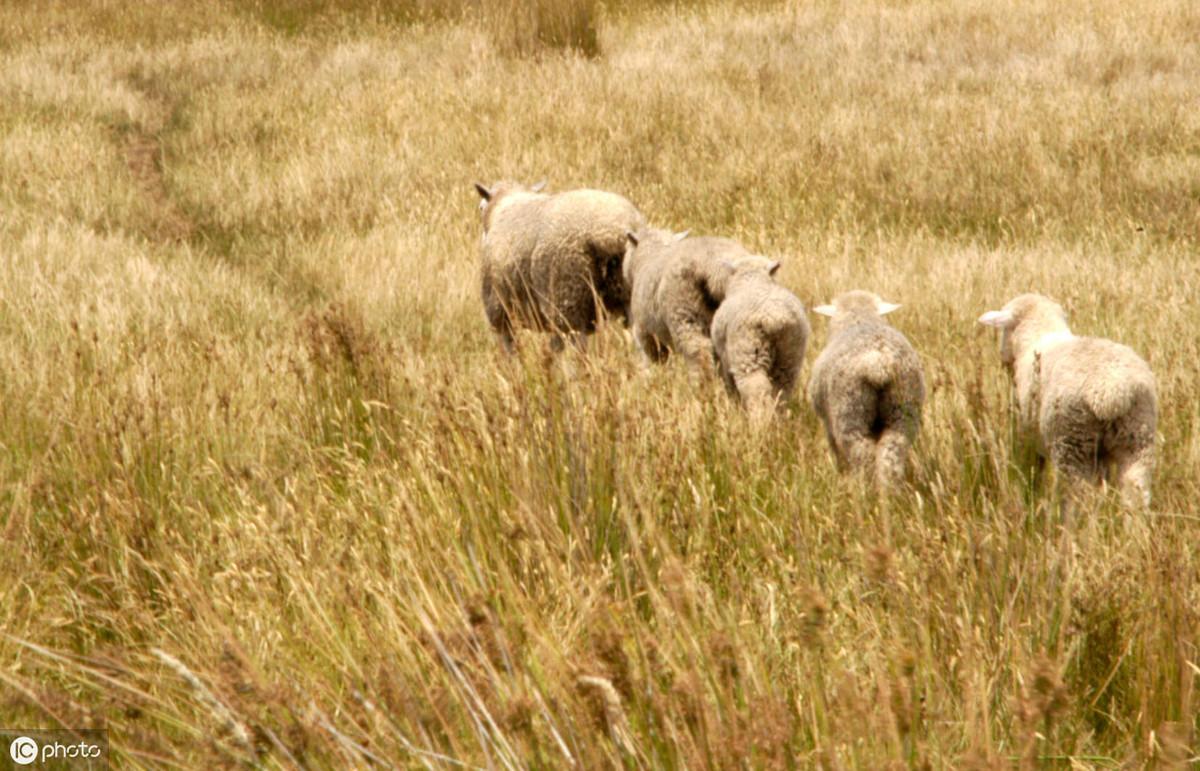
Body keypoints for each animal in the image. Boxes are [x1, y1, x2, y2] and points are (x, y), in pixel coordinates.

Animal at [470, 178, 648, 350]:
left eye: (480, 207)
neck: (505, 204)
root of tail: (611, 232)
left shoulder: (498, 310)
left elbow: (510, 349)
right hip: (627, 297)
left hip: (567, 297)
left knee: (579, 349)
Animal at [705, 253, 811, 420]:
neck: (753, 281)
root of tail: (774, 318)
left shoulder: (725, 359)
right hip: (790, 355)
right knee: (781, 388)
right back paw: (778, 418)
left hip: (749, 353)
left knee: (757, 390)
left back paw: (760, 421)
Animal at [806, 288, 926, 485]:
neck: (860, 319)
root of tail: (879, 363)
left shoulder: (828, 424)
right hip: (903, 411)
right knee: (890, 456)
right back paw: (890, 491)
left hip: (850, 413)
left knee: (864, 456)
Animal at [979, 290, 1156, 506]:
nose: (1003, 360)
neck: (1038, 337)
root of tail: (1111, 391)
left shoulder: (1028, 433)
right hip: (1137, 437)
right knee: (1136, 493)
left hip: (1072, 442)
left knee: (1077, 496)